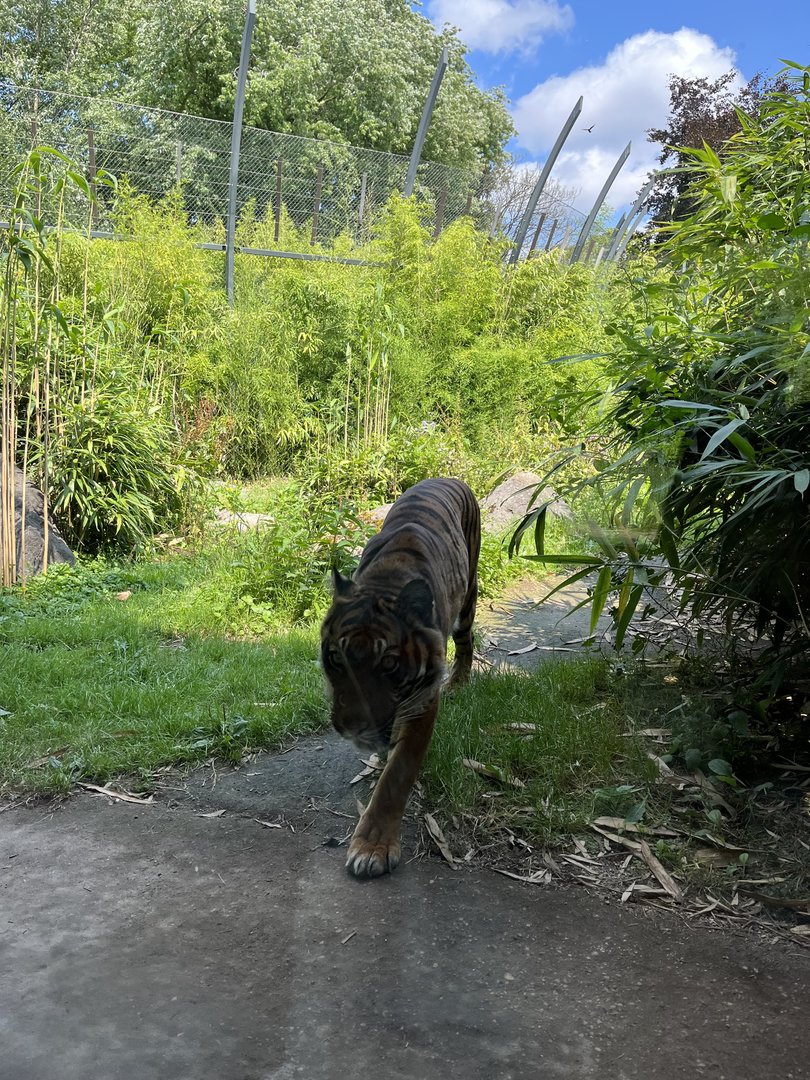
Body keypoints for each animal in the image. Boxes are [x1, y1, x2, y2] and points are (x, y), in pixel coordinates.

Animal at [320, 477, 480, 878]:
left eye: (389, 664)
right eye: (336, 658)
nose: (351, 727)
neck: (386, 583)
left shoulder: (422, 700)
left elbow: (396, 776)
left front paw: (372, 848)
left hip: (468, 599)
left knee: (467, 641)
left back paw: (460, 683)